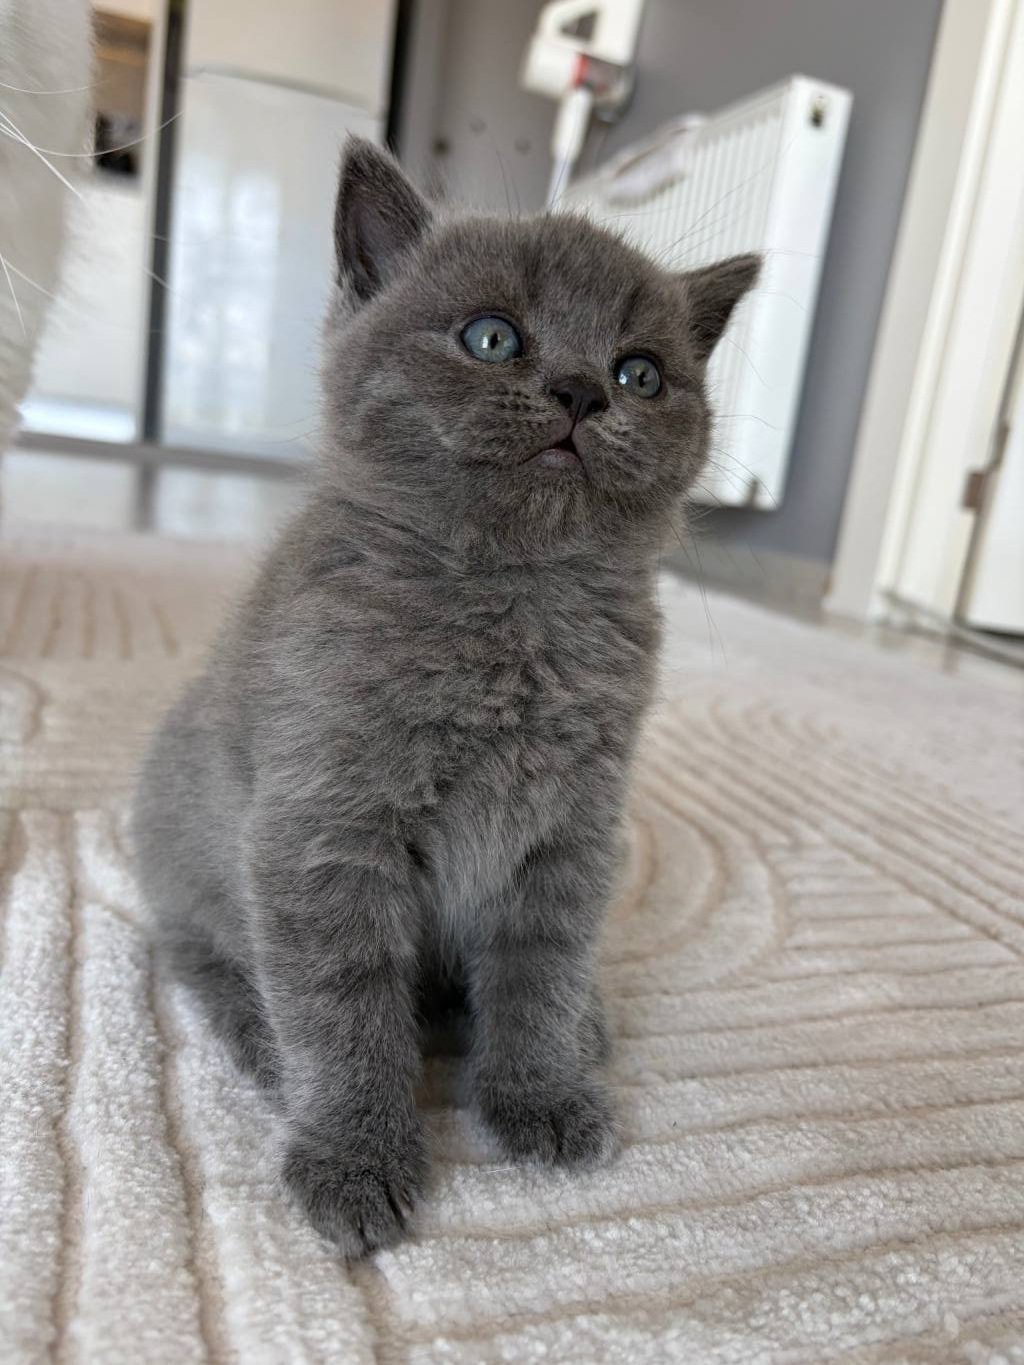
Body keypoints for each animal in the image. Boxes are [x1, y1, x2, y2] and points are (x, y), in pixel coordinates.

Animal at [133, 136, 759, 1259]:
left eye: (641, 374)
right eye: (491, 337)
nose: (581, 391)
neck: (513, 606)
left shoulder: (572, 834)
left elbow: (540, 967)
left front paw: (540, 1090)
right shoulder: (323, 832)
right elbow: (340, 1006)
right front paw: (353, 1157)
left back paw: (586, 1024)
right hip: (186, 846)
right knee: (200, 953)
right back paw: (259, 1037)